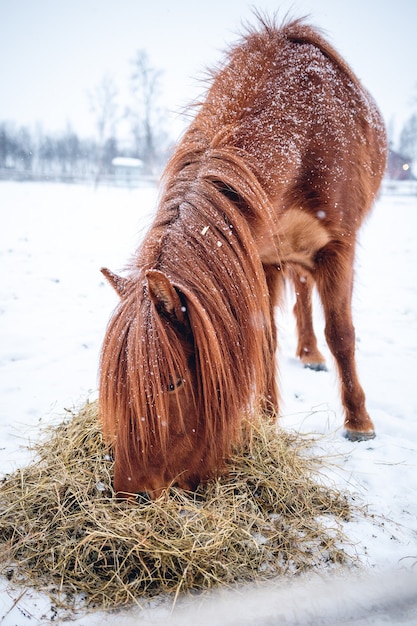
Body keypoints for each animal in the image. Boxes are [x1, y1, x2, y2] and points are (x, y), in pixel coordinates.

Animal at [100, 15, 386, 498]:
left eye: (173, 383)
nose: (128, 492)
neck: (304, 129)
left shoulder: (338, 247)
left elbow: (342, 334)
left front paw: (359, 423)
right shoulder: (262, 256)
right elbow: (263, 337)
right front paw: (267, 417)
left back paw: (315, 357)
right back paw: (306, 352)